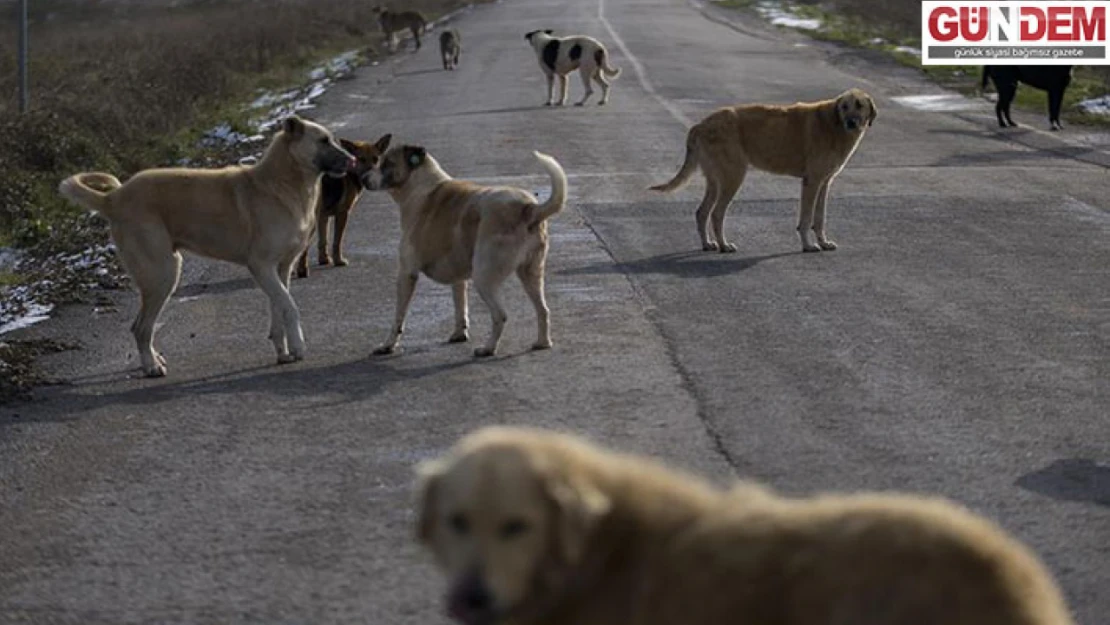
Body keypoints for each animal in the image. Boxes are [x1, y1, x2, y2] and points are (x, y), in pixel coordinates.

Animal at [58, 116, 352, 377]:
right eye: (323, 141)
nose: (352, 160)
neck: (282, 182)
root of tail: (113, 198)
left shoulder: (280, 269)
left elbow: (278, 309)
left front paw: (283, 352)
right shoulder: (261, 266)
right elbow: (290, 307)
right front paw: (299, 347)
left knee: (140, 326)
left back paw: (154, 360)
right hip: (163, 274)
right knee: (141, 328)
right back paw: (151, 367)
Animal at [297, 134, 392, 278]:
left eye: (375, 159)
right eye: (361, 159)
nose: (370, 178)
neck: (351, 171)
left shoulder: (323, 217)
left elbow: (323, 240)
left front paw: (324, 259)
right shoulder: (342, 213)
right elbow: (337, 241)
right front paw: (338, 261)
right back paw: (302, 270)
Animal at [361, 143, 568, 357]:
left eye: (387, 163)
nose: (363, 179)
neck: (420, 185)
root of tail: (528, 207)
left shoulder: (406, 273)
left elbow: (398, 317)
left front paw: (388, 345)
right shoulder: (458, 276)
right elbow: (460, 305)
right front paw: (459, 334)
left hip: (484, 277)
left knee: (500, 315)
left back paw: (488, 348)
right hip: (531, 273)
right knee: (543, 310)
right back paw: (542, 342)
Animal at [648, 88, 874, 254]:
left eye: (859, 105)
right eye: (844, 107)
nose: (851, 122)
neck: (834, 124)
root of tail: (701, 124)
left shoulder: (824, 183)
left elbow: (819, 218)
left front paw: (823, 242)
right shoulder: (812, 182)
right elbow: (806, 218)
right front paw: (808, 246)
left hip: (715, 180)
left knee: (702, 212)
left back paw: (708, 244)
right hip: (733, 177)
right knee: (717, 213)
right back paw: (724, 245)